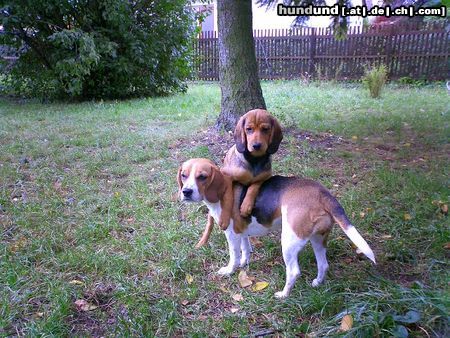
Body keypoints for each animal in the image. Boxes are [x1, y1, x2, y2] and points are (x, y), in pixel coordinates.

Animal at [178, 158, 374, 298]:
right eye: (184, 175)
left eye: (202, 176)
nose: (186, 192)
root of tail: (322, 193)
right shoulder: (242, 231)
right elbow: (246, 249)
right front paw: (244, 264)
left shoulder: (231, 234)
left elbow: (234, 255)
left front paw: (229, 270)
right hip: (318, 239)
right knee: (323, 265)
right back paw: (317, 283)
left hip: (288, 242)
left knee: (293, 271)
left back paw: (283, 295)